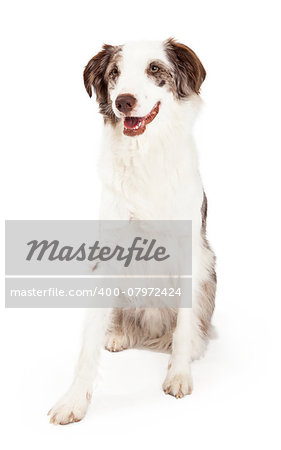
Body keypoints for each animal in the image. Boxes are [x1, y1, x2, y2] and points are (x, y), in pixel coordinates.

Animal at [48, 38, 215, 426]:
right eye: (114, 73)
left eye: (155, 69)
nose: (124, 101)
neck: (146, 154)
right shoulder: (107, 254)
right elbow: (88, 339)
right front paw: (74, 400)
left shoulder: (192, 253)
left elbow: (185, 325)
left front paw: (178, 373)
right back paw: (119, 332)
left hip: (210, 265)